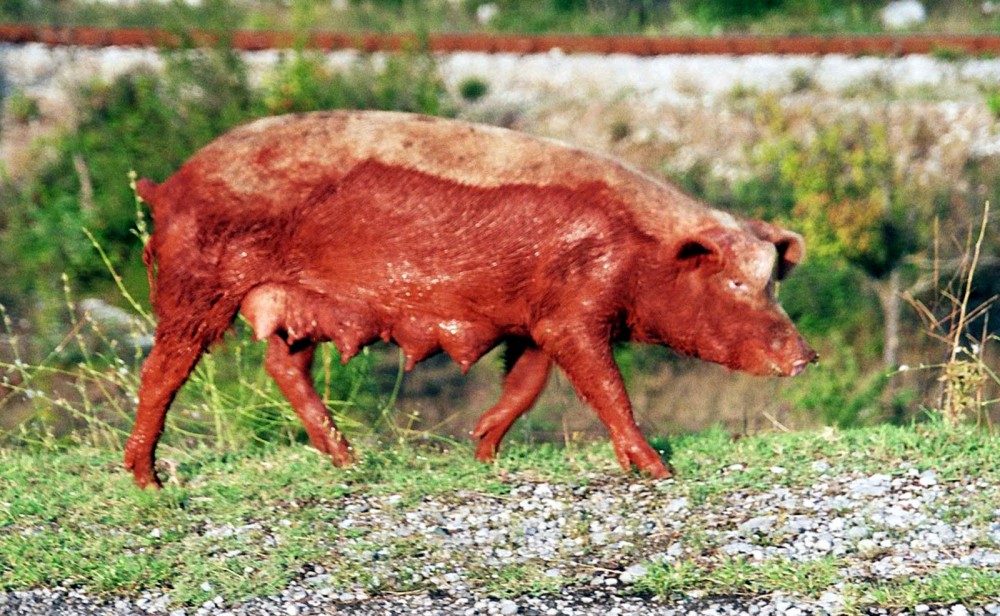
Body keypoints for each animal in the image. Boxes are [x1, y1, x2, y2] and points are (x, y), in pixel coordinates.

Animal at [125, 109, 816, 486]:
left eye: (772, 281)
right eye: (735, 283)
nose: (807, 357)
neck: (641, 250)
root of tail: (171, 183)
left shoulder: (536, 321)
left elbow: (527, 384)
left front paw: (482, 452)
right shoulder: (574, 315)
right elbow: (607, 386)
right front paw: (661, 471)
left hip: (296, 305)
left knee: (283, 364)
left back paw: (348, 461)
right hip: (197, 285)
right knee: (163, 370)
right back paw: (148, 482)